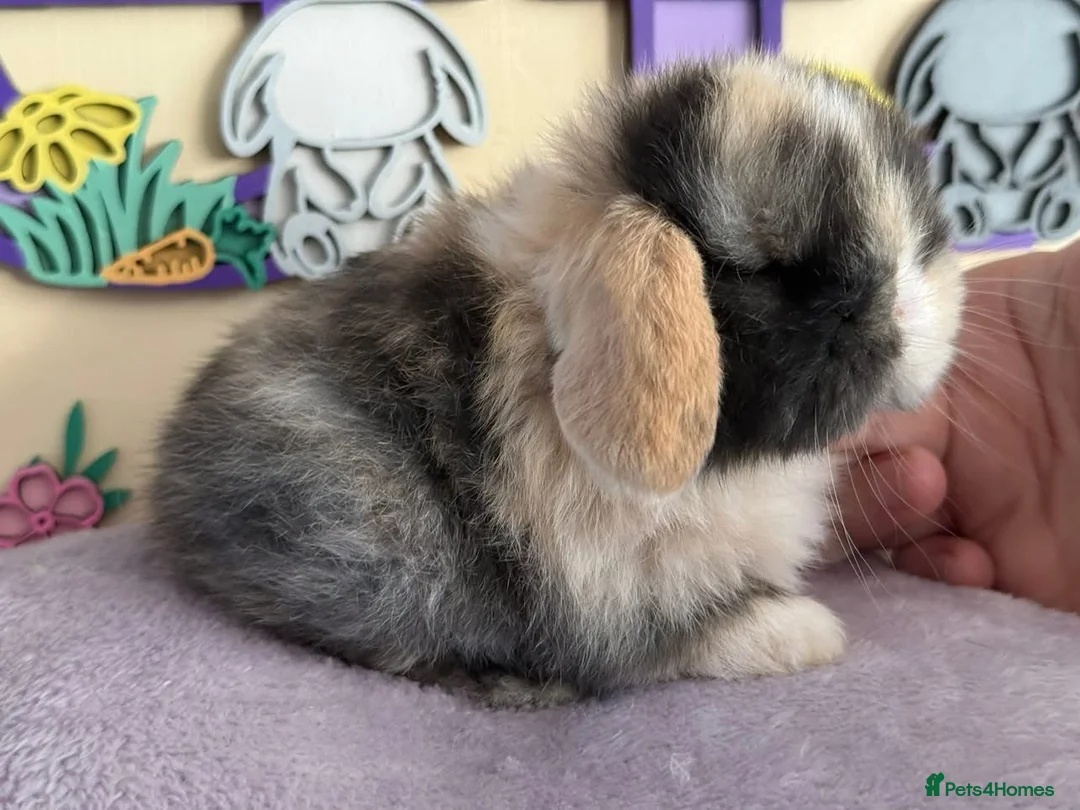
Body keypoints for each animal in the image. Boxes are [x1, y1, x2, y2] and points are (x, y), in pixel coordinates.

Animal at [149, 52, 963, 708]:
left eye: (918, 241)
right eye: (762, 271)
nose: (902, 317)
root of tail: (172, 477)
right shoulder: (621, 593)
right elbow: (693, 635)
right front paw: (813, 632)